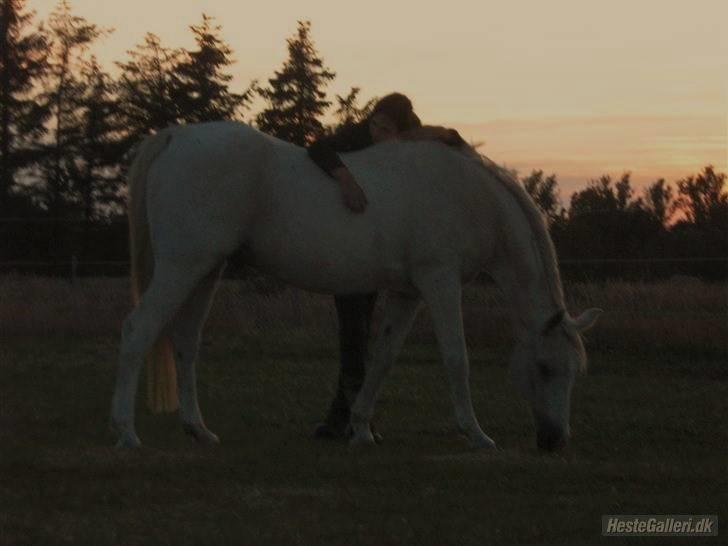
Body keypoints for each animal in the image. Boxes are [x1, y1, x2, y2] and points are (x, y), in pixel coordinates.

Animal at [111, 121, 604, 448]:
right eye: (546, 368)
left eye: (574, 372)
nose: (555, 440)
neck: (468, 196)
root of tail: (177, 137)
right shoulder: (440, 282)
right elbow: (456, 358)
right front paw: (476, 433)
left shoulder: (408, 293)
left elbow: (381, 358)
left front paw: (361, 428)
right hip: (182, 267)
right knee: (136, 332)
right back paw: (126, 433)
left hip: (205, 270)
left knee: (185, 342)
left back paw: (197, 428)